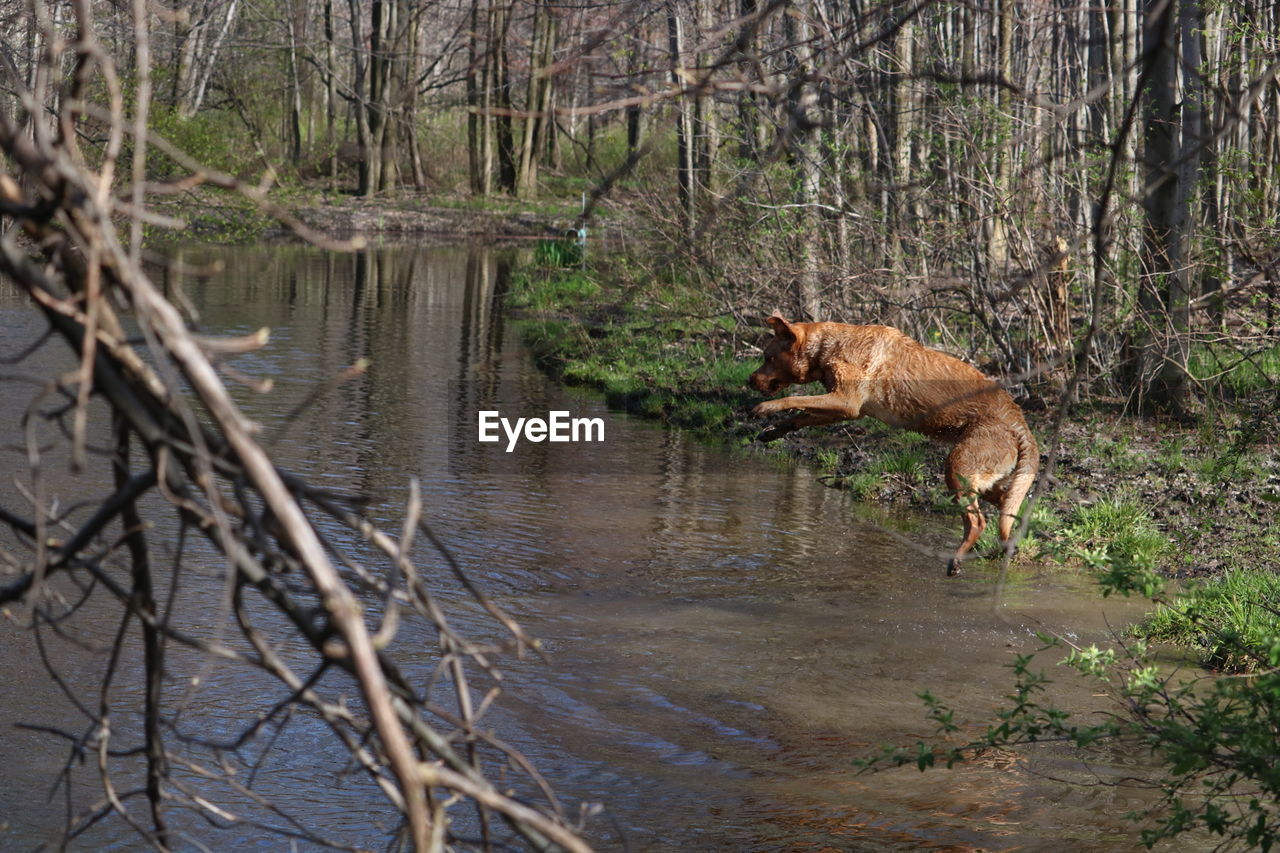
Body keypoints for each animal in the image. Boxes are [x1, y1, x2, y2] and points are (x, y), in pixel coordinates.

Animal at [747, 308, 1039, 573]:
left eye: (767, 356)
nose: (750, 380)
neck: (829, 347)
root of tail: (1019, 421)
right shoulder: (847, 410)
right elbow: (800, 415)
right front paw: (773, 431)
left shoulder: (846, 401)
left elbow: (792, 400)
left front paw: (765, 408)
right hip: (985, 481)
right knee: (1006, 508)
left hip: (958, 468)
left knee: (977, 522)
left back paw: (956, 559)